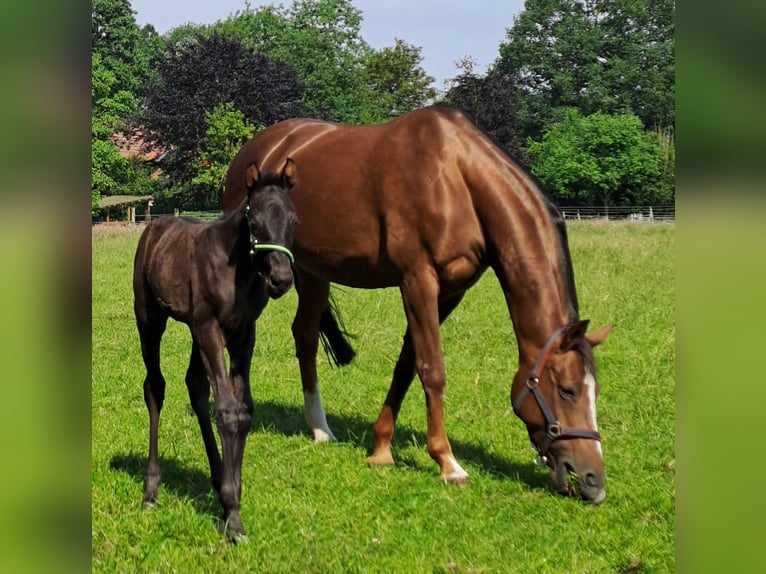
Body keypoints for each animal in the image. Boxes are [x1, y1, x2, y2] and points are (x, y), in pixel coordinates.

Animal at [134, 159, 298, 540]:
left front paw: (230, 499)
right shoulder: (210, 327)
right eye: (255, 224)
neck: (237, 269)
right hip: (151, 319)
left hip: (196, 330)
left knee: (195, 386)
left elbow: (243, 409)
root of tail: (154, 226)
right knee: (155, 387)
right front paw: (233, 516)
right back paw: (151, 489)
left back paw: (216, 474)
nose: (281, 279)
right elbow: (226, 410)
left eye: (294, 221)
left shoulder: (242, 332)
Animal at [222, 107, 612, 504]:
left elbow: (408, 364)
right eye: (567, 390)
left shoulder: (450, 291)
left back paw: (320, 429)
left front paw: (381, 448)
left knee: (305, 335)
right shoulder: (418, 279)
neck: (458, 180)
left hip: (312, 270)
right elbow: (432, 369)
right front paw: (447, 462)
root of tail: (256, 150)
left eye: (595, 390)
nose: (592, 480)